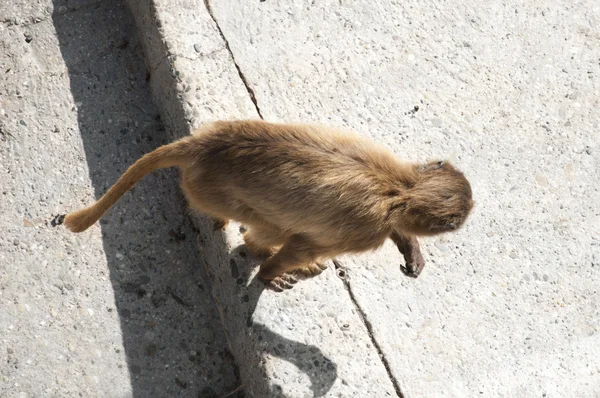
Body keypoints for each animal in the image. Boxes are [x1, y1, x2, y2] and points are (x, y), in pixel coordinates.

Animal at [62, 119, 474, 290]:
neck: (400, 187)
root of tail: (204, 142)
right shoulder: (365, 228)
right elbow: (302, 244)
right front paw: (267, 274)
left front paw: (410, 249)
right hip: (213, 193)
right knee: (272, 228)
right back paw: (261, 250)